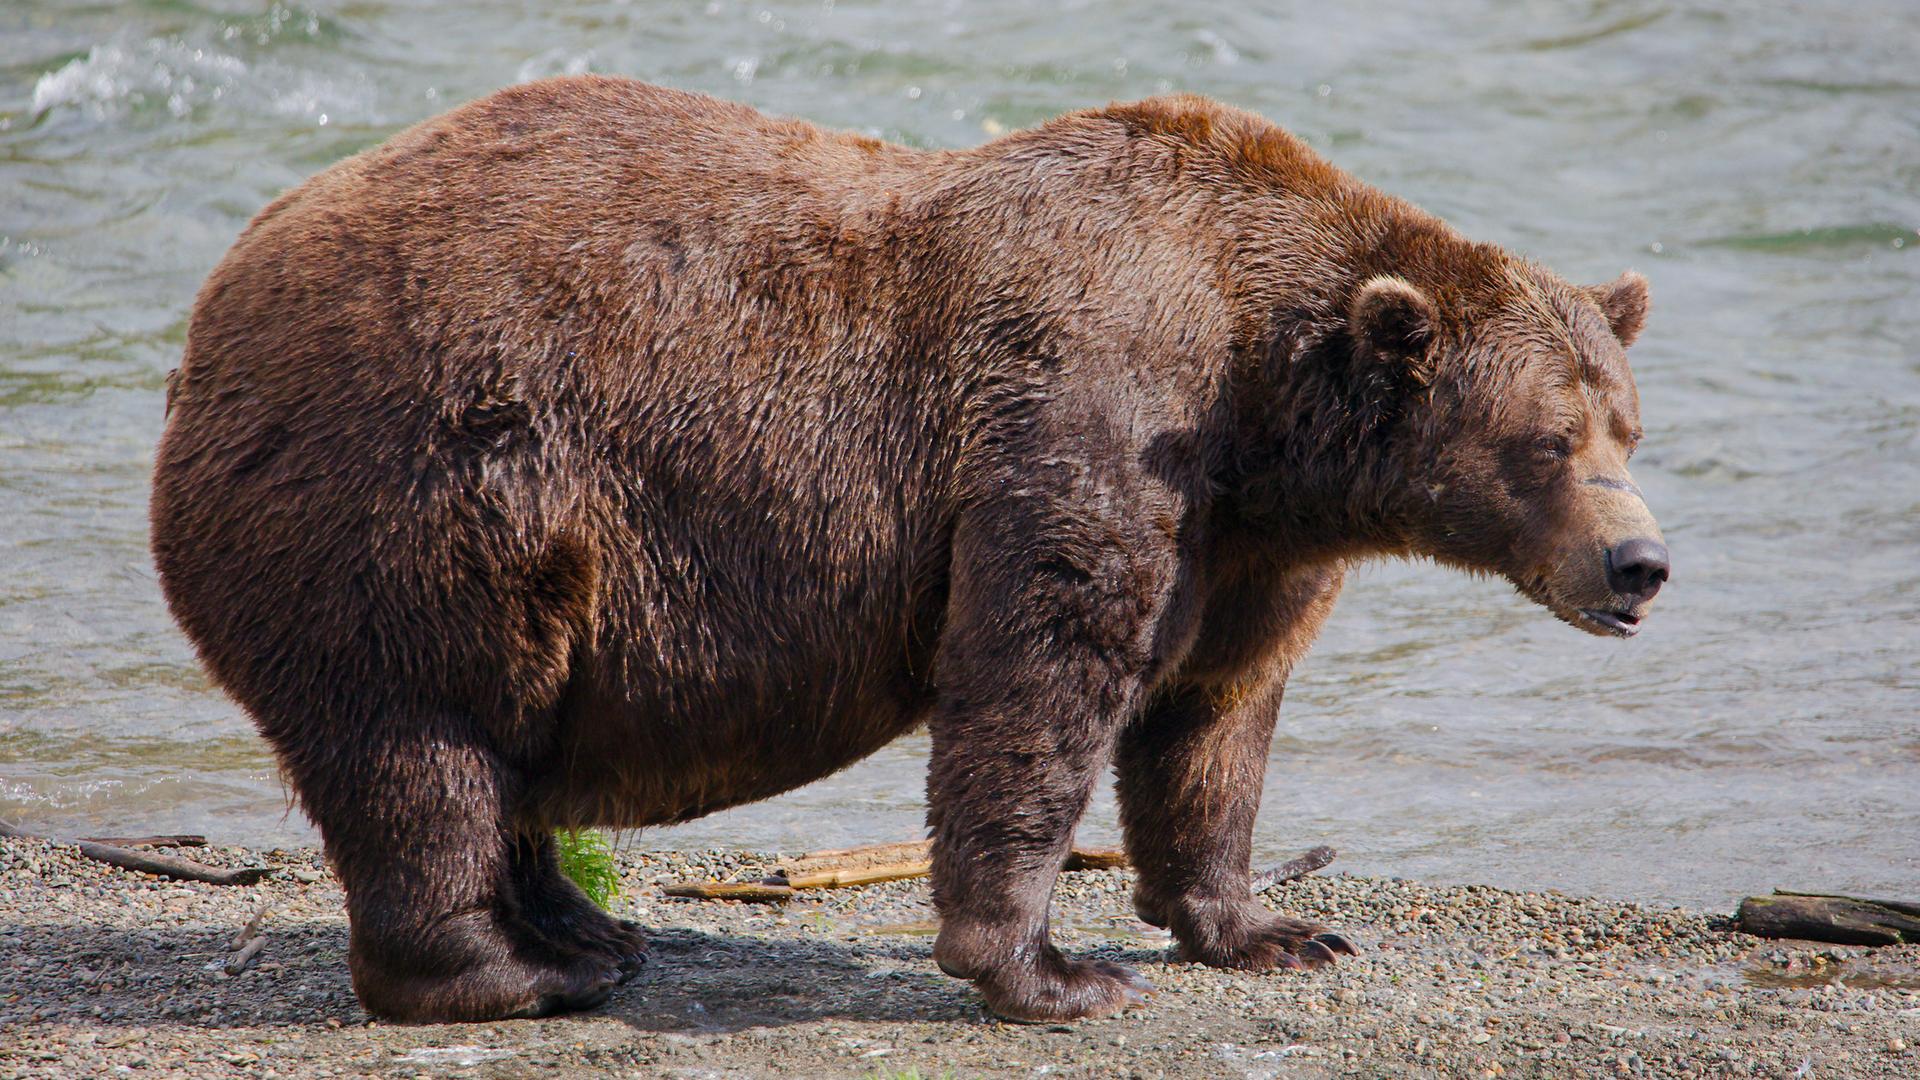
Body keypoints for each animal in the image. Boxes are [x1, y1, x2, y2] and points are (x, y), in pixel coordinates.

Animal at [150, 76, 1669, 1024]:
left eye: (1628, 426)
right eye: (1547, 441)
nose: (1640, 566)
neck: (1263, 398)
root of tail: (211, 308)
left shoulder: (1249, 541)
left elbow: (1214, 718)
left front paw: (1271, 929)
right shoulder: (1089, 414)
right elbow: (1039, 674)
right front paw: (1051, 972)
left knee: (501, 746)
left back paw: (588, 930)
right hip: (417, 489)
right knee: (424, 743)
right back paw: (513, 972)